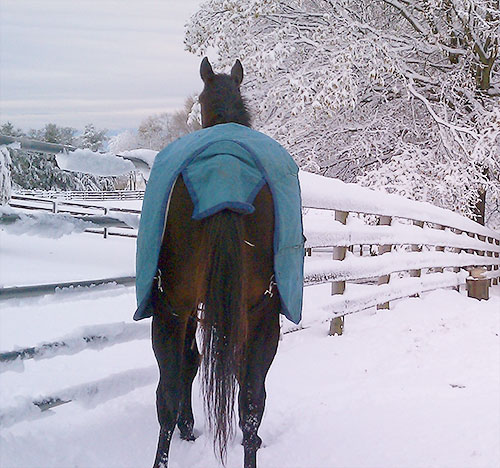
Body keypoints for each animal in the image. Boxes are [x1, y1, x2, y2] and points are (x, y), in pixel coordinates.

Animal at [147, 58, 292, 468]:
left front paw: (187, 424)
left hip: (171, 309)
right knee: (251, 401)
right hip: (259, 313)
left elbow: (189, 363)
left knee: (170, 391)